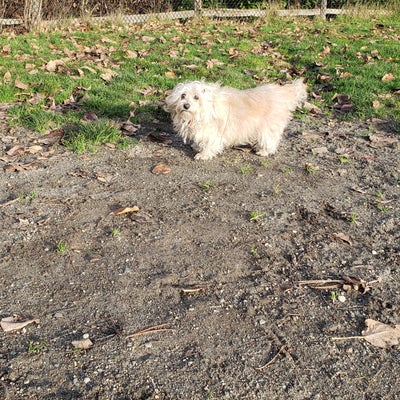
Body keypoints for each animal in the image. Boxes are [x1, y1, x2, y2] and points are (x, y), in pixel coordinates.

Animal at [164, 79, 308, 160]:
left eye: (196, 97)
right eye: (183, 95)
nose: (186, 106)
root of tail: (282, 93)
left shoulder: (213, 132)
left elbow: (210, 143)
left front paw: (204, 154)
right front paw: (197, 146)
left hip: (268, 126)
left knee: (270, 139)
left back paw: (264, 151)